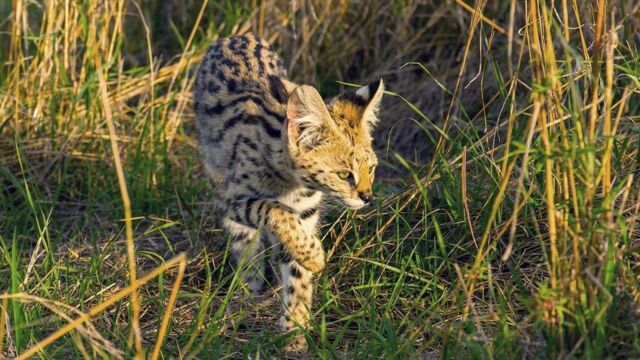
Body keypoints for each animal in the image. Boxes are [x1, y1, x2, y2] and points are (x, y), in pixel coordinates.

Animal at [194, 34, 384, 352]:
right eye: (344, 175)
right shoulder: (232, 198)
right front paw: (315, 256)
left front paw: (294, 331)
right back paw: (250, 285)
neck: (294, 184)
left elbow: (297, 276)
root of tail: (234, 36)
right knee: (246, 245)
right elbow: (272, 209)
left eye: (371, 168)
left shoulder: (305, 214)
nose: (367, 197)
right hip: (215, 174)